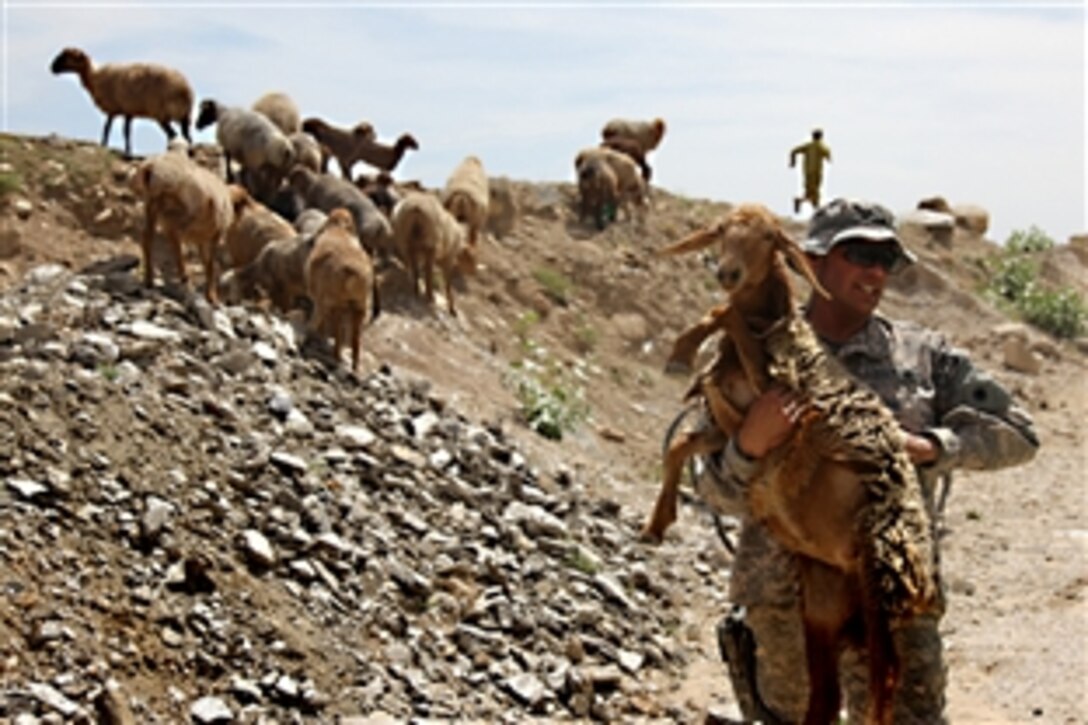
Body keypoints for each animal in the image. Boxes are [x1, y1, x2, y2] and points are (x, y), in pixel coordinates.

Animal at [49, 46, 193, 157]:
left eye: (67, 56)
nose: (52, 68)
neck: (94, 77)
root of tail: (184, 89)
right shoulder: (126, 111)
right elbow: (124, 131)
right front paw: (126, 151)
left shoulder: (113, 109)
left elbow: (108, 129)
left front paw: (104, 145)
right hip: (184, 116)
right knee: (187, 136)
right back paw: (190, 154)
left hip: (162, 114)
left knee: (173, 135)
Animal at [304, 205, 380, 370]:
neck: (339, 229)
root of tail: (353, 273)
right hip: (359, 306)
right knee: (355, 338)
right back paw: (354, 367)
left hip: (333, 302)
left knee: (328, 327)